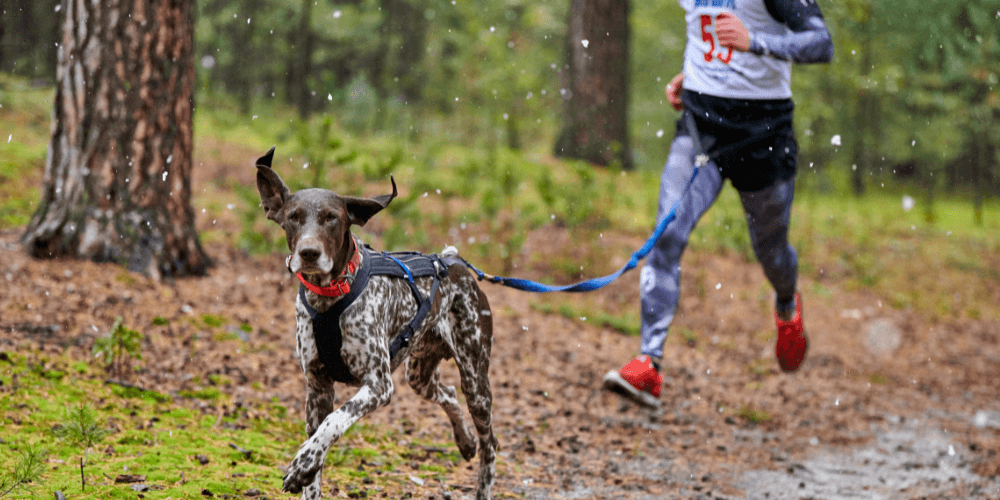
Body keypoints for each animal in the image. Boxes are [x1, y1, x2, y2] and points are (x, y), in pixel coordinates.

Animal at [254, 147, 496, 500]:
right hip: (419, 375)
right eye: (293, 217)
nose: (309, 252)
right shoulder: (317, 386)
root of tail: (453, 262)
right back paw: (464, 440)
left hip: (476, 380)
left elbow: (334, 422)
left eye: (332, 217)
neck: (329, 296)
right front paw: (307, 472)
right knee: (448, 393)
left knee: (490, 444)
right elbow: (317, 446)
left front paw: (302, 463)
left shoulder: (378, 384)